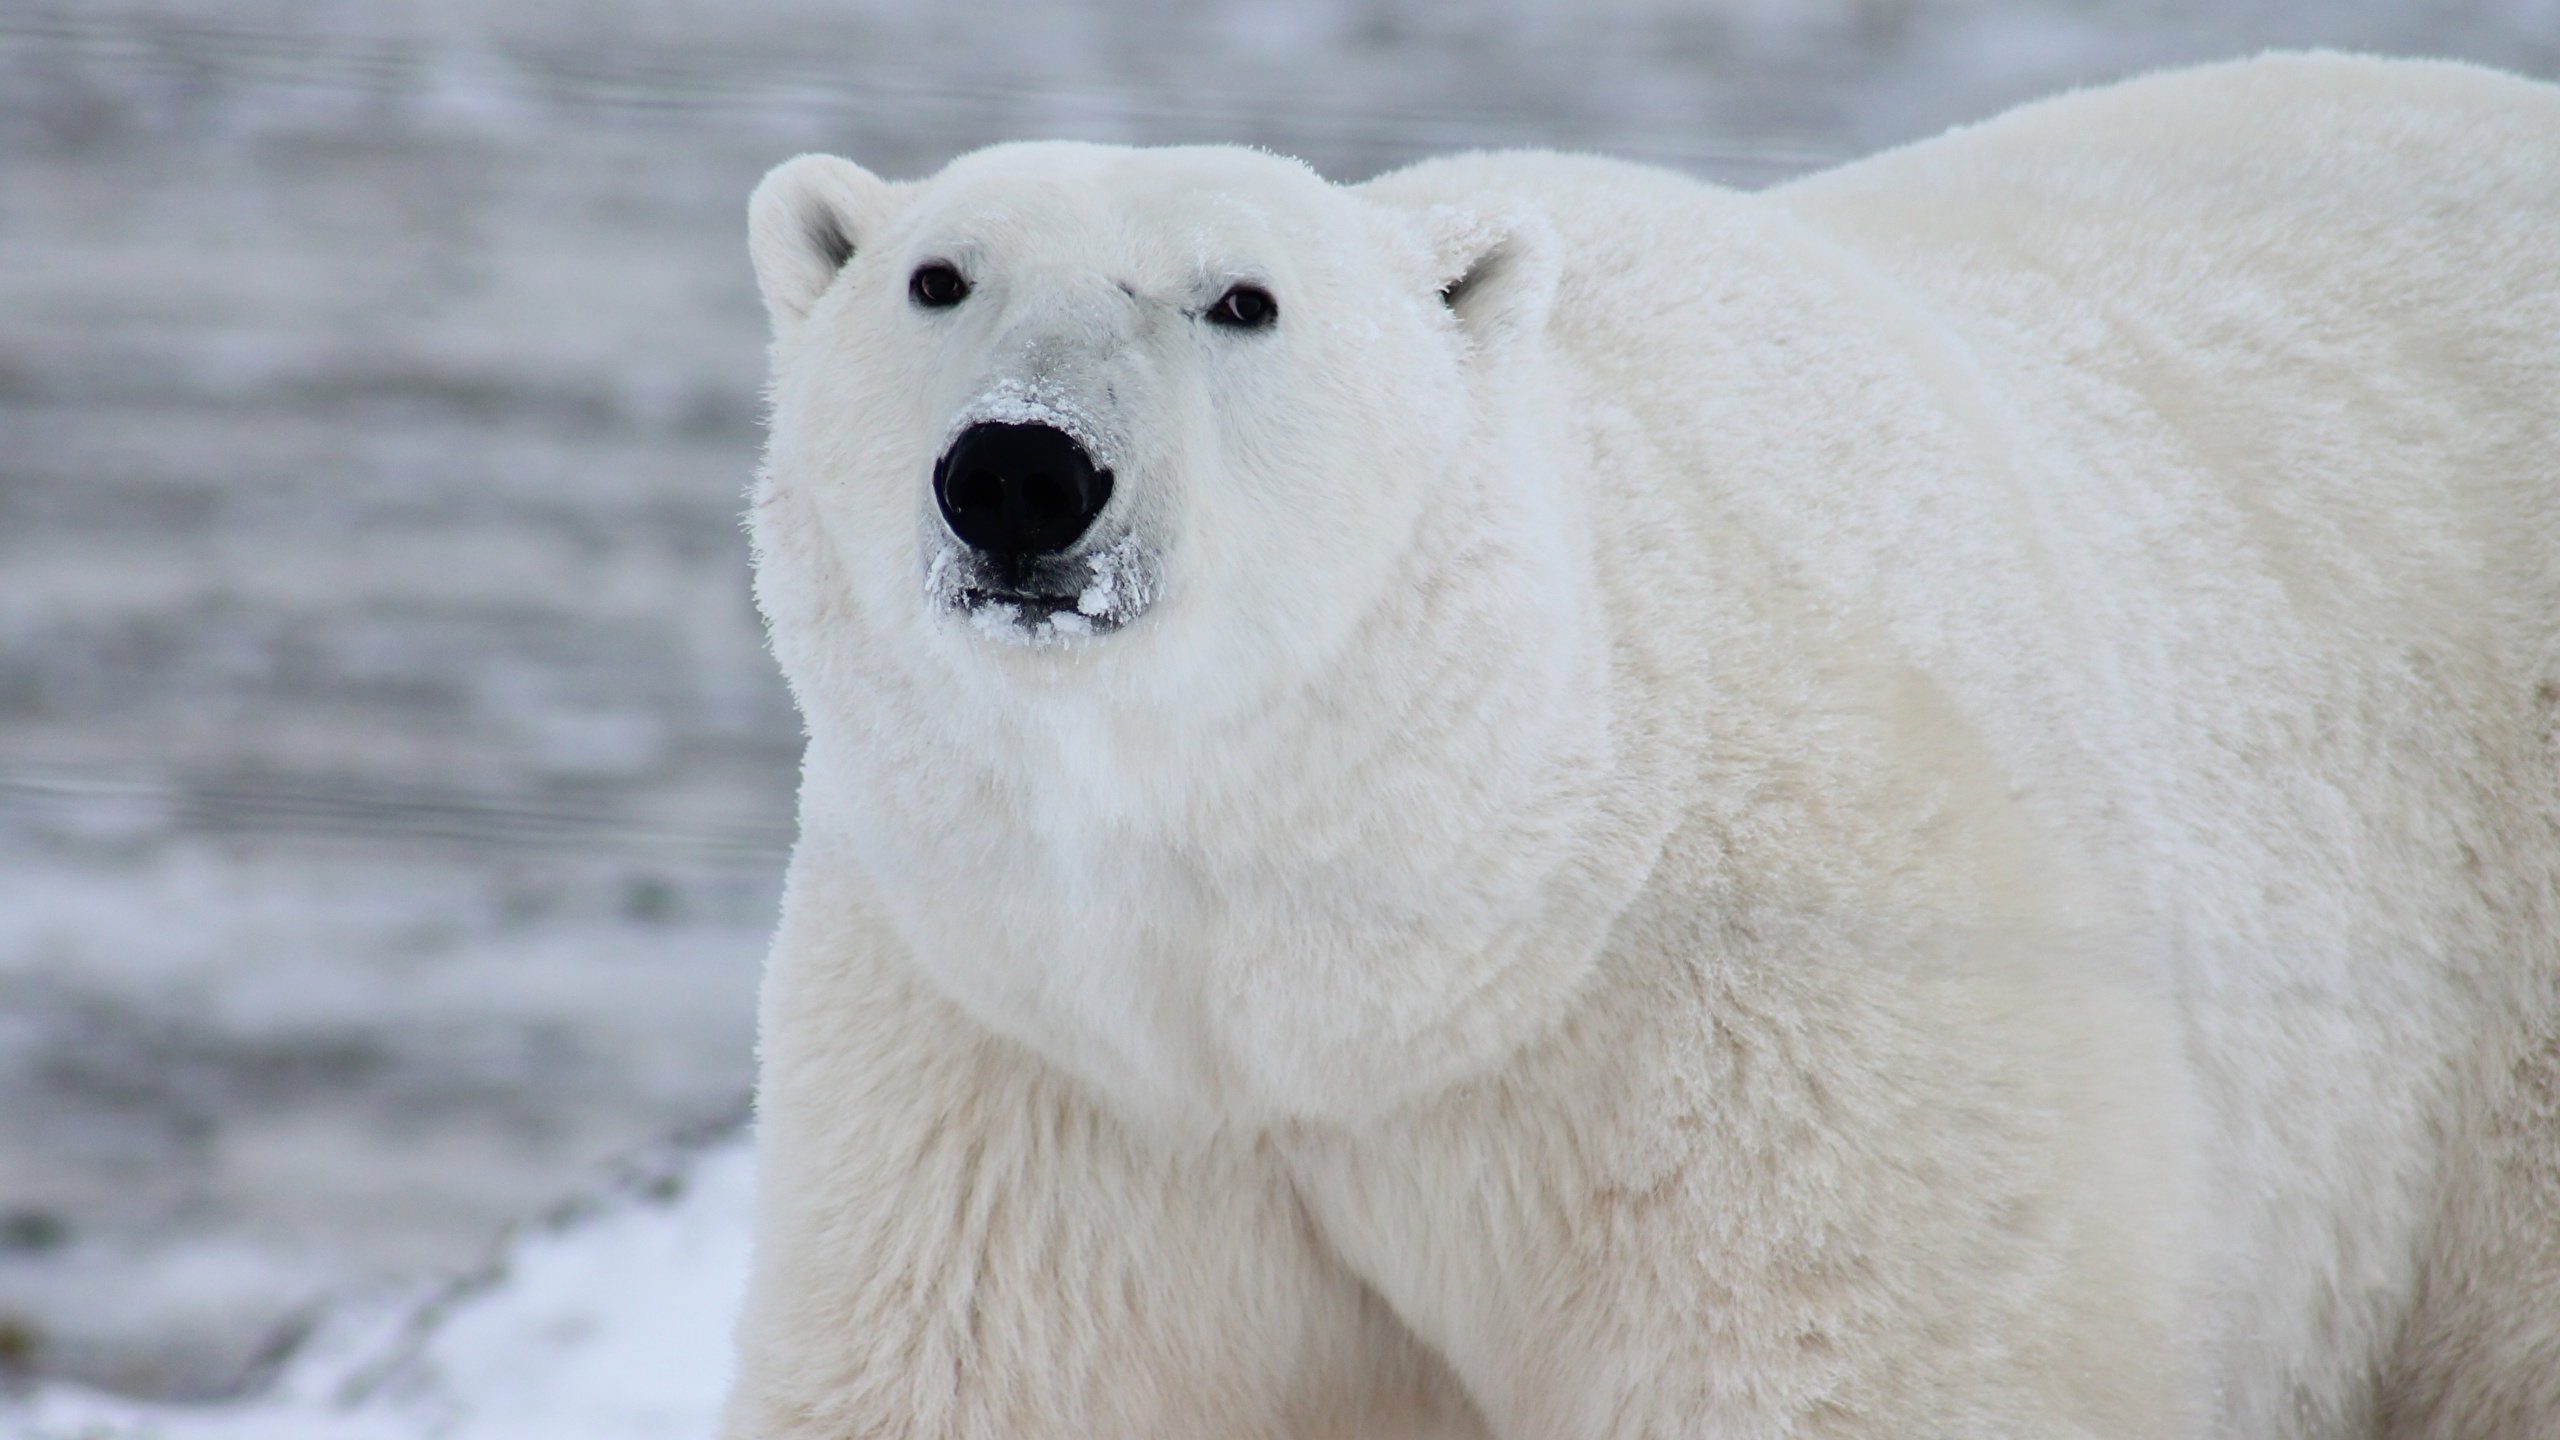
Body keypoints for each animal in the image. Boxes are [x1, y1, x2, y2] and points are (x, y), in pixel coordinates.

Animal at [716, 53, 2560, 1434]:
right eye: (936, 276)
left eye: (1242, 300)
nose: (1022, 471)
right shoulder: (1031, 1057)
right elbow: (984, 1370)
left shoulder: (1780, 1009)